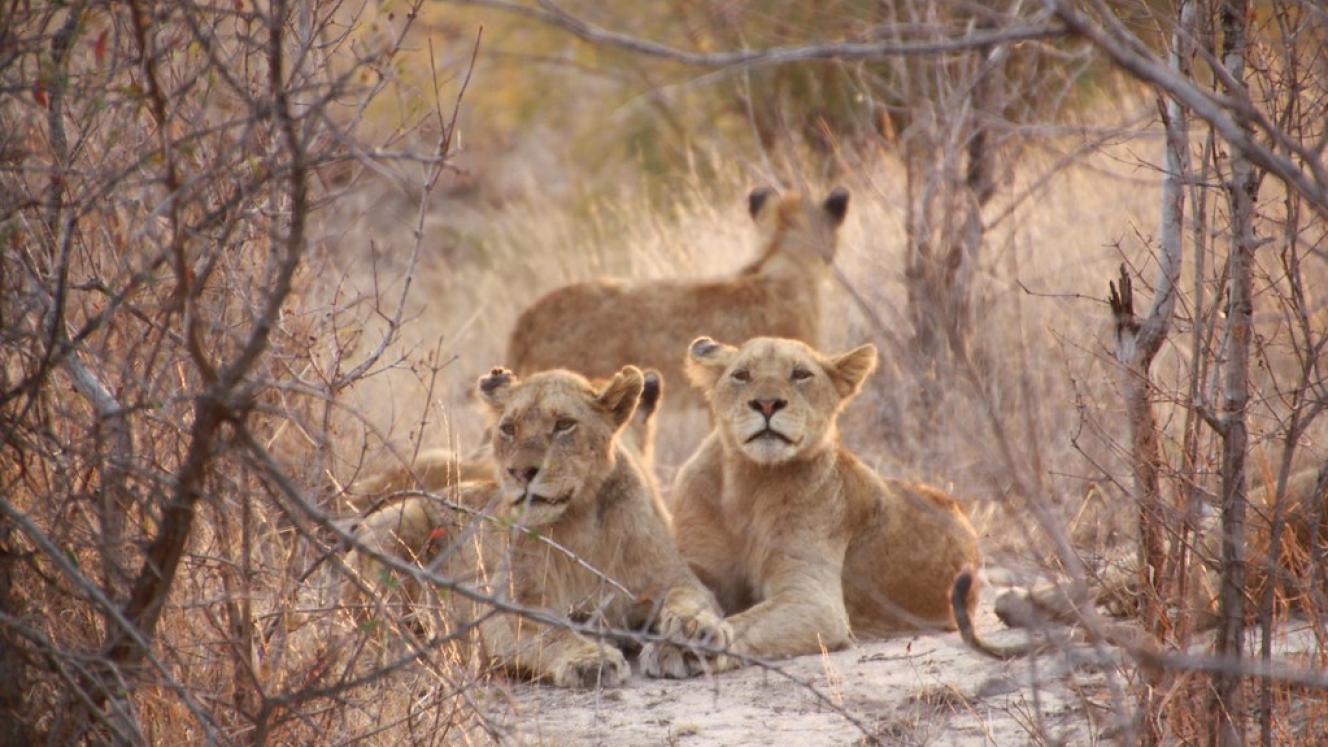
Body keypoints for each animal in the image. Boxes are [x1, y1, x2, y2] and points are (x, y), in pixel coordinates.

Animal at [345, 365, 730, 688]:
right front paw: (589, 659)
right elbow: (550, 632)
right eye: (508, 428)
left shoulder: (672, 578)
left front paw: (693, 638)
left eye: (564, 425)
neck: (578, 524)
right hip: (397, 522)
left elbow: (689, 601)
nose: (520, 472)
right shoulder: (504, 609)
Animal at [669, 335, 983, 664]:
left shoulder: (814, 599)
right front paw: (685, 627)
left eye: (800, 374)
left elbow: (748, 621)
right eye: (741, 375)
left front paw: (705, 638)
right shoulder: (698, 565)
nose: (767, 404)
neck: (750, 480)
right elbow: (679, 593)